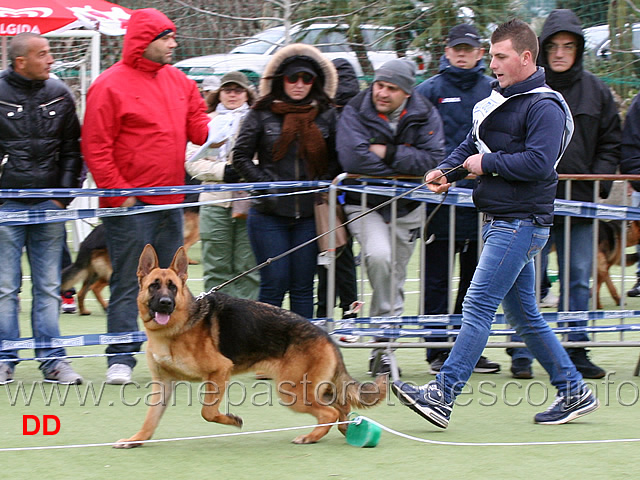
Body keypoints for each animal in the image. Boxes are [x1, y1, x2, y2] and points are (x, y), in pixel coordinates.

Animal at [114, 246, 384, 448]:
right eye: (154, 286)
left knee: (329, 413)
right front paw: (137, 440)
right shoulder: (163, 385)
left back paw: (310, 437)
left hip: (293, 392)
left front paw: (231, 420)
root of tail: (325, 335)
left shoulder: (220, 370)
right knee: (340, 407)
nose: (165, 303)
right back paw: (345, 428)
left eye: (172, 287)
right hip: (313, 389)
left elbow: (207, 412)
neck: (176, 328)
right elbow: (150, 420)